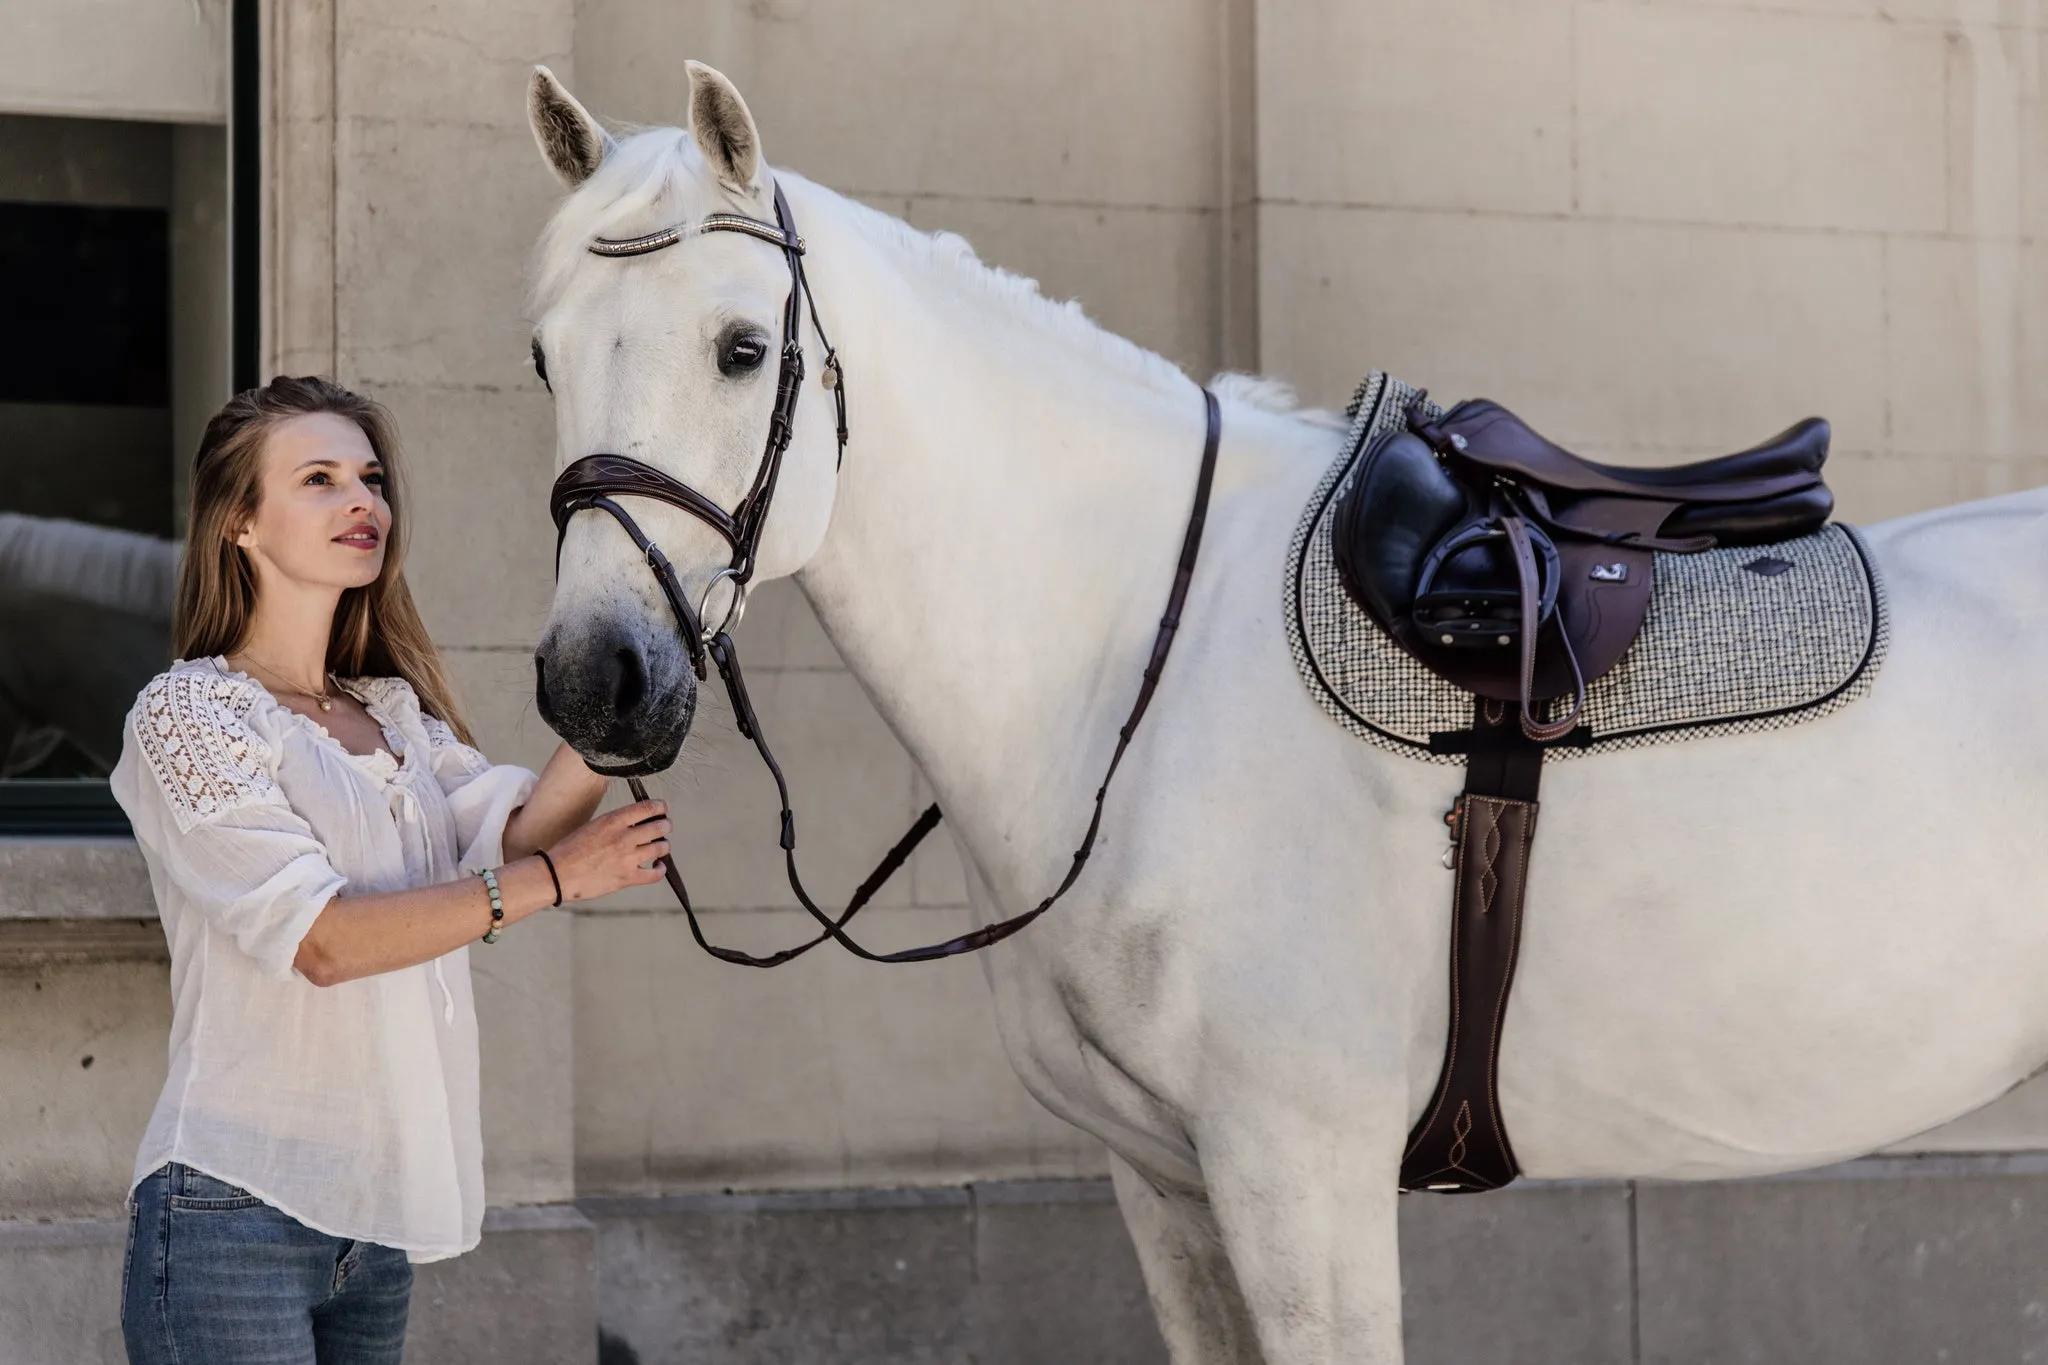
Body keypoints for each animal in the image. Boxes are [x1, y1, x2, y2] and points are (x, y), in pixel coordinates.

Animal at [524, 66, 2048, 1365]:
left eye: (739, 347)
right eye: (543, 357)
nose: (594, 677)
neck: (1137, 660)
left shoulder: (1299, 1174)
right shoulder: (1167, 1182)